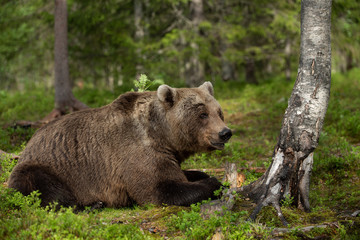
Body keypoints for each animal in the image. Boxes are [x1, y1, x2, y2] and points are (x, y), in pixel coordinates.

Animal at [9, 82, 233, 208]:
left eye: (218, 112)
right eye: (202, 114)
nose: (225, 133)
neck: (162, 135)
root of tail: (29, 142)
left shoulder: (168, 154)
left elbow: (182, 174)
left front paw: (204, 175)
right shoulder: (136, 151)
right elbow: (160, 189)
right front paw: (216, 183)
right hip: (45, 166)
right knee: (44, 189)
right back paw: (92, 204)